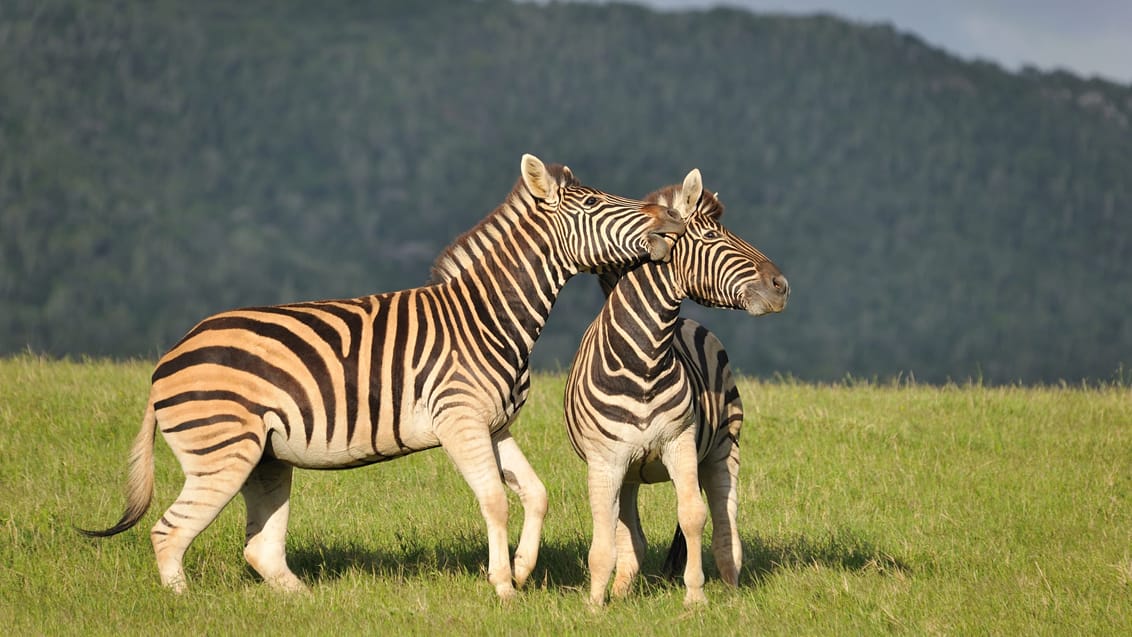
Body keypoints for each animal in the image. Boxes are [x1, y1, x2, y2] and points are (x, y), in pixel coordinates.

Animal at [79, 155, 683, 597]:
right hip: (222, 453)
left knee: (259, 548)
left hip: (265, 459)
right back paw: (182, 603)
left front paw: (523, 568)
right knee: (168, 532)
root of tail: (169, 359)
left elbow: (535, 494)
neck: (487, 315)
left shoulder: (493, 425)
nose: (672, 222)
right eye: (596, 202)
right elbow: (496, 501)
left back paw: (306, 603)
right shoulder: (459, 421)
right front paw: (503, 588)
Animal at [563, 169, 792, 606]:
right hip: (630, 471)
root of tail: (689, 323)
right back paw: (622, 591)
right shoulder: (605, 460)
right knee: (630, 535)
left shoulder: (680, 442)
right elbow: (605, 535)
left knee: (725, 519)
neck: (644, 360)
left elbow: (693, 516)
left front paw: (695, 596)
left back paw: (731, 588)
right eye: (711, 236)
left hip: (723, 446)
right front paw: (596, 605)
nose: (782, 285)